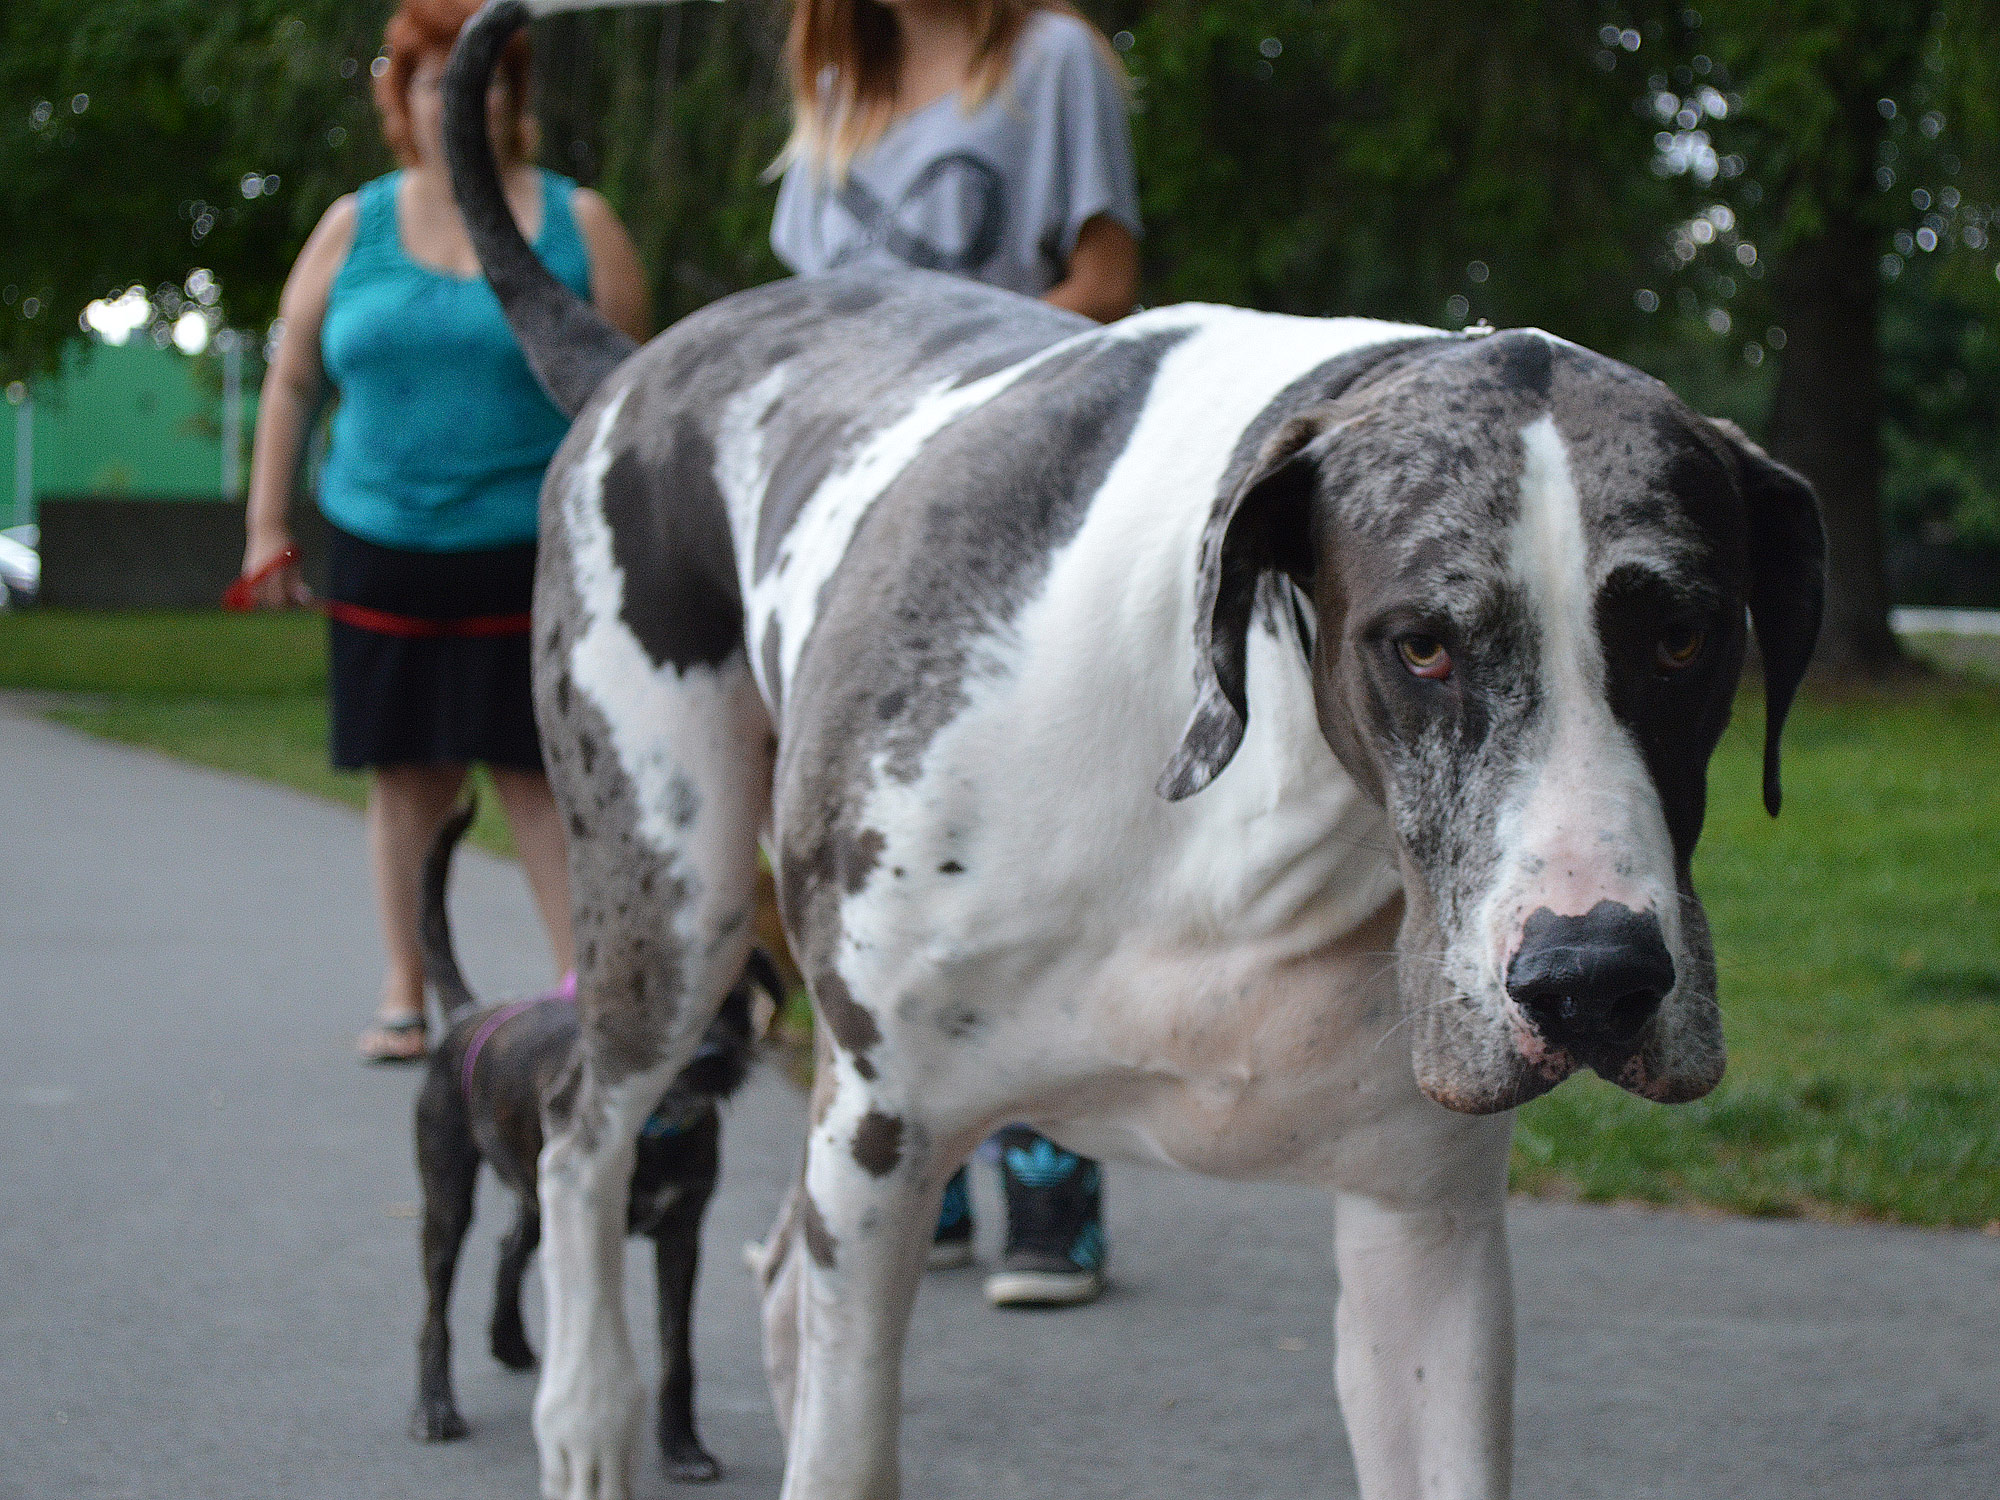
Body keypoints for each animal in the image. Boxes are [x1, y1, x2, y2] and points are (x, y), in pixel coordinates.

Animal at [446, 5, 1824, 1496]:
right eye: (1422, 645)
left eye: (1683, 636)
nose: (1592, 979)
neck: (1264, 828)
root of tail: (636, 357)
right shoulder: (876, 1142)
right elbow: (845, 1430)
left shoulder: (1424, 1232)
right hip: (673, 897)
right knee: (583, 1130)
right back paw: (589, 1408)